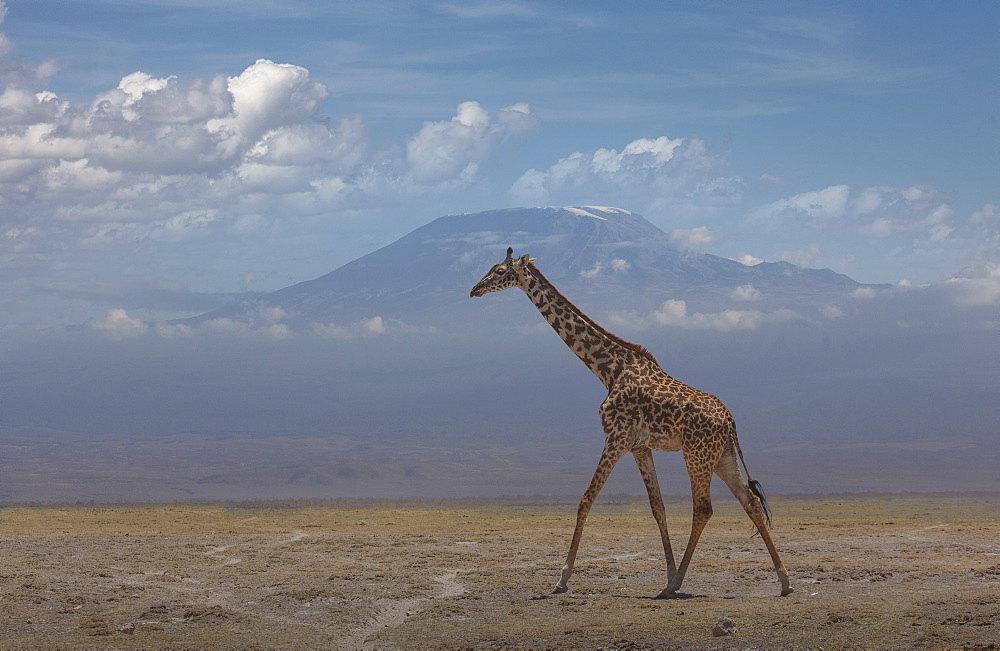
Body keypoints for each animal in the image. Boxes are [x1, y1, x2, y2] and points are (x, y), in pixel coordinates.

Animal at [472, 247, 792, 600]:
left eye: (500, 271)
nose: (474, 290)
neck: (607, 369)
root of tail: (731, 421)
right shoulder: (640, 448)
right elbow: (658, 508)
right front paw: (667, 572)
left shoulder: (616, 439)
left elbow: (585, 500)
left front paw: (562, 579)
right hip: (722, 457)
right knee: (750, 502)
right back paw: (784, 581)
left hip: (696, 455)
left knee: (704, 508)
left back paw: (678, 584)